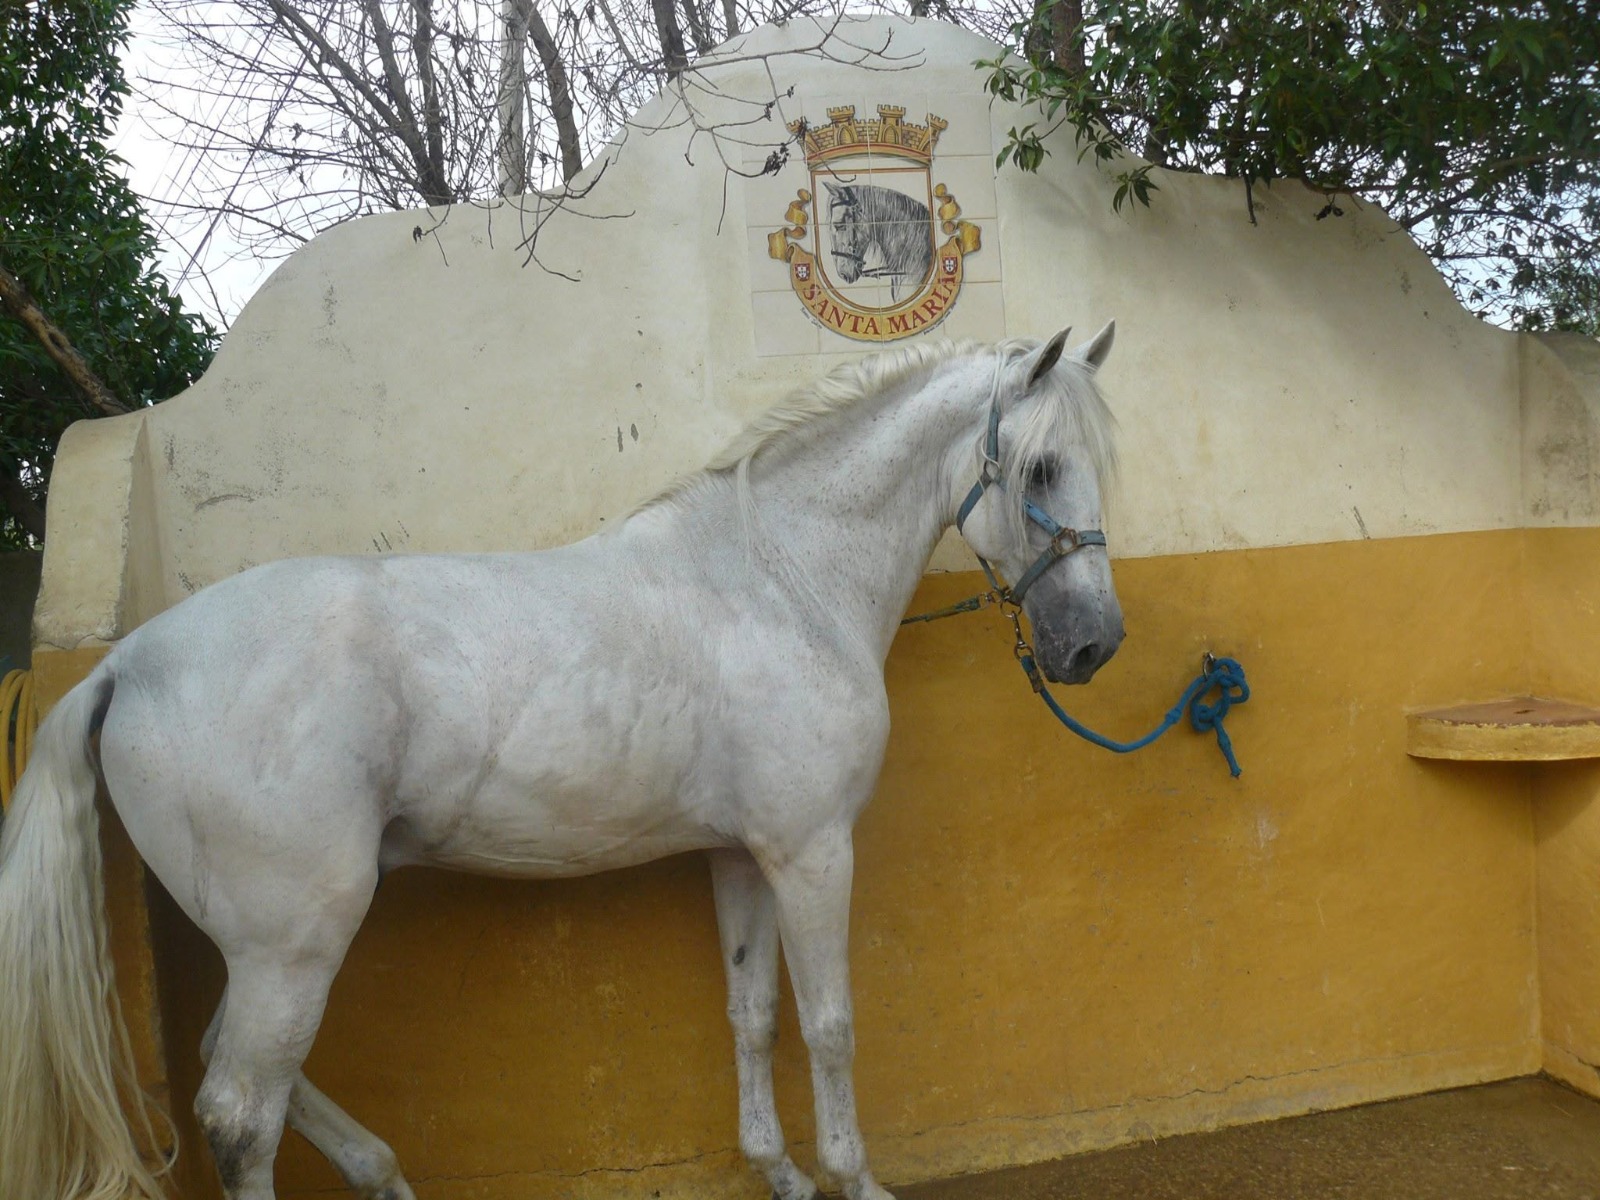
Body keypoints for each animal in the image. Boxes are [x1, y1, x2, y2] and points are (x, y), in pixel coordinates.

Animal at [0, 324, 1122, 1200]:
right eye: (1037, 469)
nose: (1092, 646)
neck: (776, 582)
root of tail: (127, 663)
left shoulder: (740, 853)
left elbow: (753, 1015)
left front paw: (782, 1172)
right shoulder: (813, 851)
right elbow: (832, 1023)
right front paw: (854, 1179)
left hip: (268, 944)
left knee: (232, 1078)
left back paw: (382, 1172)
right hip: (294, 941)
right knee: (239, 1115)